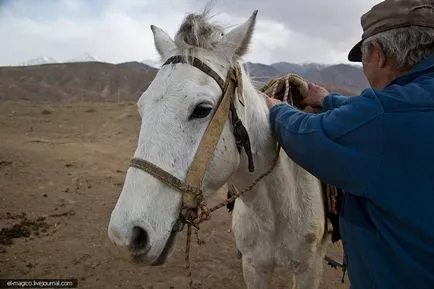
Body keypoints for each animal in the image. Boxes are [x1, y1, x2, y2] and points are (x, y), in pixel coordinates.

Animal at [107, 7, 328, 286]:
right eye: (141, 107)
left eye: (202, 109)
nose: (126, 235)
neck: (275, 212)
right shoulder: (254, 266)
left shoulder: (310, 268)